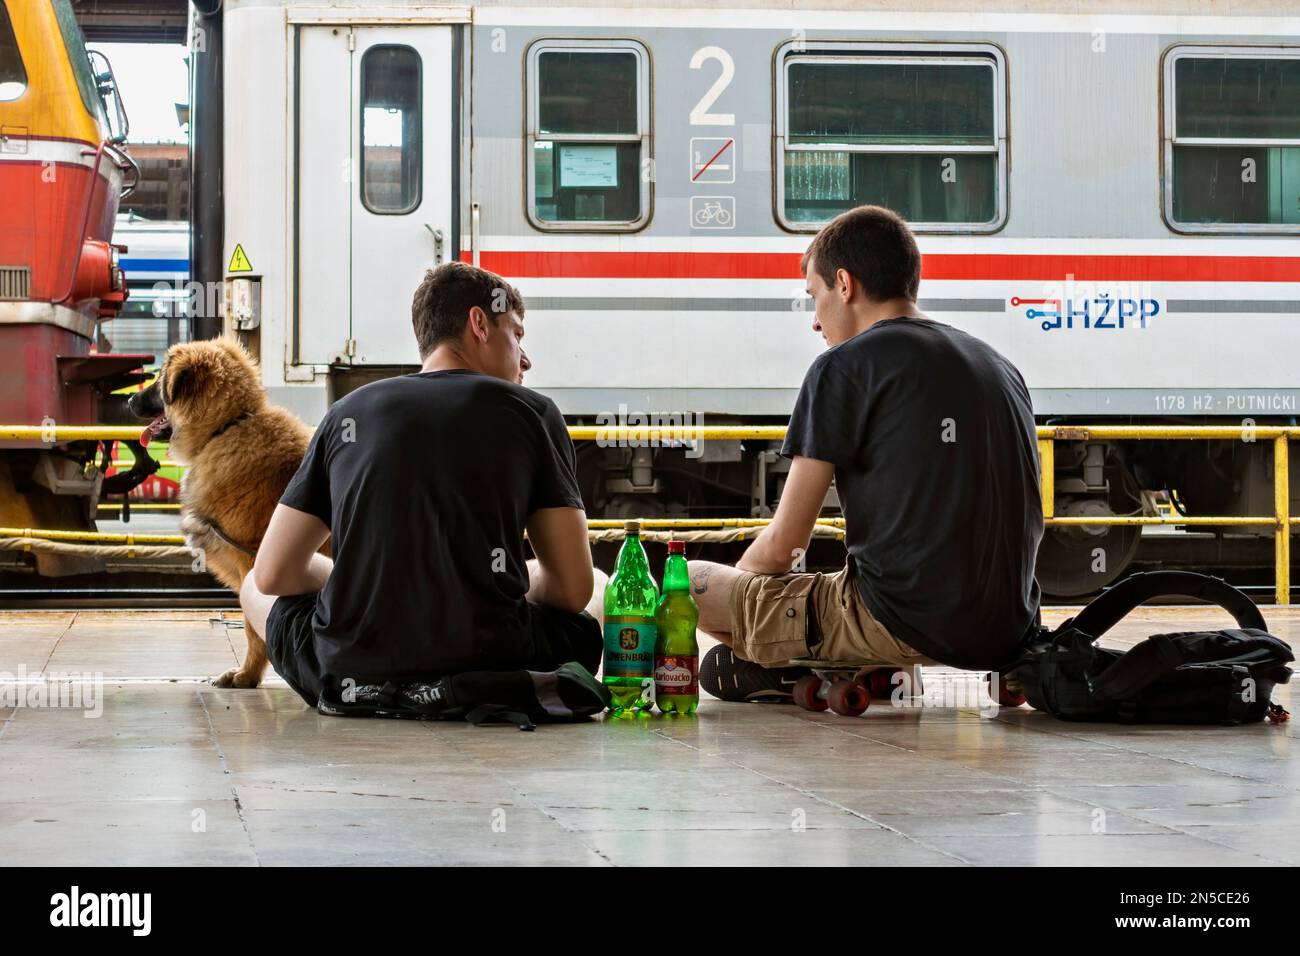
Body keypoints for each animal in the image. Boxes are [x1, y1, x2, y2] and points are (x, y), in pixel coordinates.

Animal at [127, 338, 319, 686]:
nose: (129, 400)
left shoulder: (251, 562)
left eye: (159, 379)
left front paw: (247, 674)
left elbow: (252, 628)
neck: (228, 426)